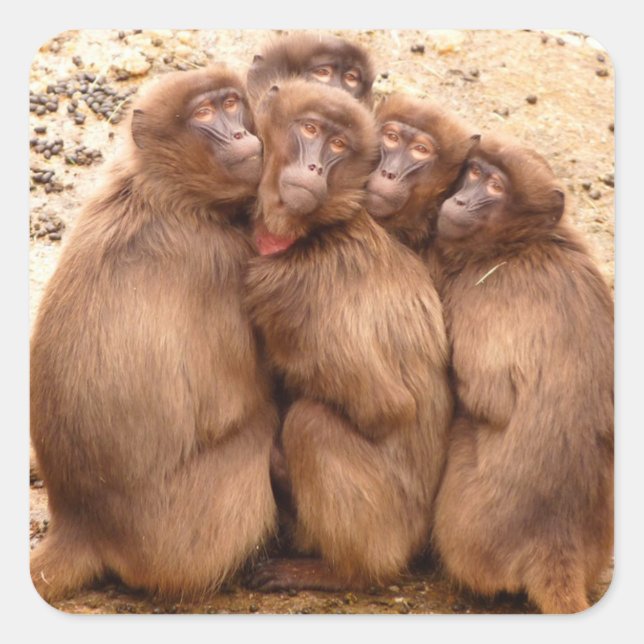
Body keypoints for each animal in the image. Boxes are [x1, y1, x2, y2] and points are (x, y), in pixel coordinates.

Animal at [29, 66, 279, 602]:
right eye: (204, 113)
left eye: (232, 104)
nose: (239, 134)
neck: (165, 193)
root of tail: (82, 521)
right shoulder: (221, 260)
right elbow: (235, 401)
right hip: (185, 535)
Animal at [243, 79, 452, 591]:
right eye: (310, 129)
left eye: (337, 145)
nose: (314, 166)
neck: (313, 231)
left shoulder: (297, 291)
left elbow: (385, 408)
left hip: (389, 529)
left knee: (312, 423)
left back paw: (340, 572)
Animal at [430, 135, 614, 613]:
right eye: (475, 172)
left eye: (495, 186)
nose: (460, 200)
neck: (519, 246)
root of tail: (556, 543)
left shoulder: (483, 293)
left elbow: (487, 398)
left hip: (474, 526)